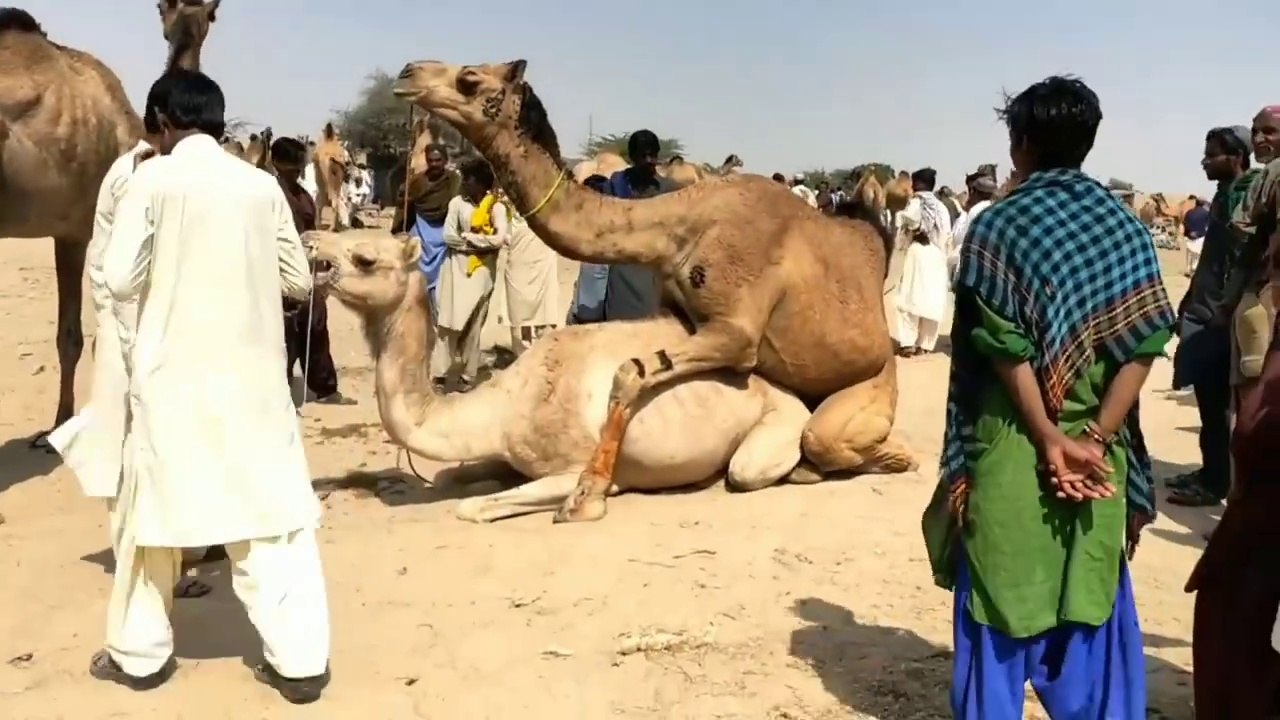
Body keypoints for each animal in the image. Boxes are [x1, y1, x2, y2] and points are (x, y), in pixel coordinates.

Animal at [0, 2, 221, 446]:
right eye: (162, 7)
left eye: (211, 14)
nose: (185, 26)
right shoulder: (81, 227)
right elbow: (77, 336)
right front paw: (62, 423)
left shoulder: (72, 227)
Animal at [310, 228, 818, 522]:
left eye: (365, 259)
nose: (313, 244)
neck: (502, 406)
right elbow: (457, 479)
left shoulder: (570, 467)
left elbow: (470, 507)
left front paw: (583, 505)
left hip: (776, 425)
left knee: (745, 469)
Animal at [393, 58, 915, 523]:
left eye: (469, 78)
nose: (406, 73)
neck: (681, 224)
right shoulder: (678, 314)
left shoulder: (737, 333)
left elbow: (629, 372)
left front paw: (586, 495)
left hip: (873, 383)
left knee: (826, 438)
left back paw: (894, 458)